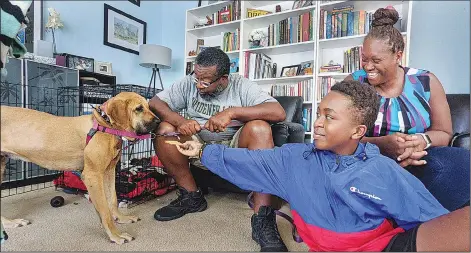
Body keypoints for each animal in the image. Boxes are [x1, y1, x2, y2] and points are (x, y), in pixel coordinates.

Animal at [0, 92, 160, 244]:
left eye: (149, 107)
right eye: (138, 108)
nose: (159, 121)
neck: (105, 125)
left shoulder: (109, 172)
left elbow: (113, 199)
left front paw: (120, 218)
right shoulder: (92, 176)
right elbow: (105, 211)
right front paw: (116, 235)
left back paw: (10, 223)